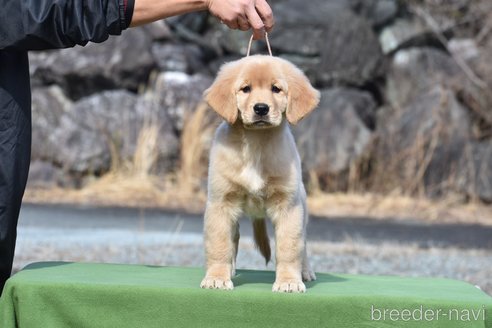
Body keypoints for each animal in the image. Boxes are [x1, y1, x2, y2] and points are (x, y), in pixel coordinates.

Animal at [200, 55, 320, 294]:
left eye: (276, 89)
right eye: (245, 89)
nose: (261, 108)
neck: (255, 143)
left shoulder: (289, 206)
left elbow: (289, 247)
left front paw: (289, 281)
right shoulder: (221, 203)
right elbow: (219, 244)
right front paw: (217, 278)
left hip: (302, 206)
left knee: (303, 243)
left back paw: (305, 271)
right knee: (234, 238)